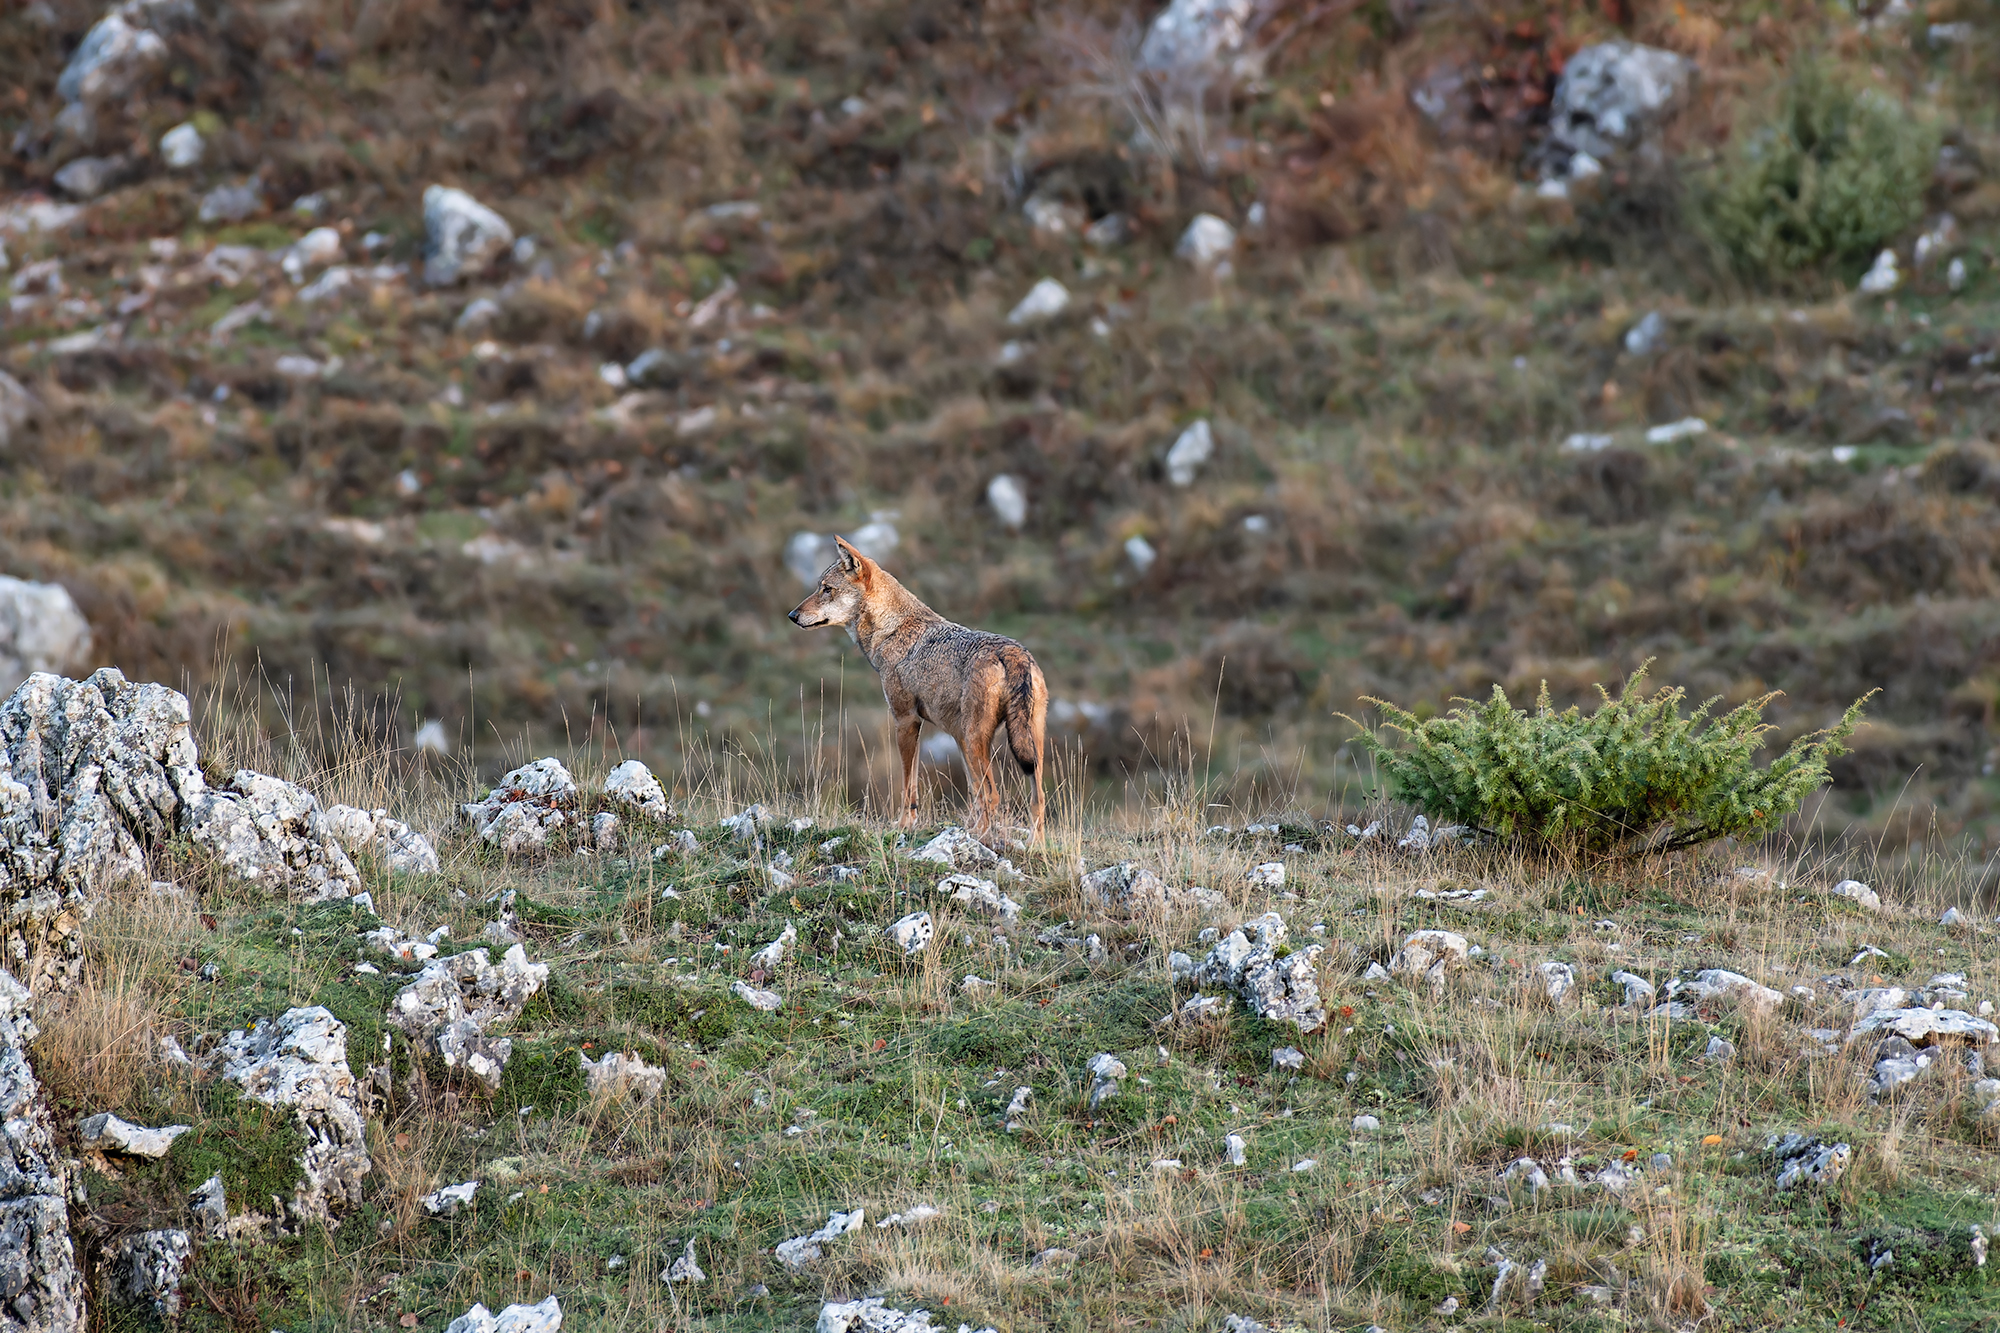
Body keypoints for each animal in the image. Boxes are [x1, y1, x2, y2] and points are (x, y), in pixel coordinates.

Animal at [788, 536, 1047, 840]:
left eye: (827, 589)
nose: (792, 615)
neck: (892, 630)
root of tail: (1014, 652)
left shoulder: (906, 721)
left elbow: (908, 786)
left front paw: (903, 826)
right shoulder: (954, 736)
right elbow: (970, 792)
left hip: (978, 739)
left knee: (994, 795)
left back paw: (979, 838)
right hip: (1024, 743)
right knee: (1036, 797)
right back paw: (1032, 844)